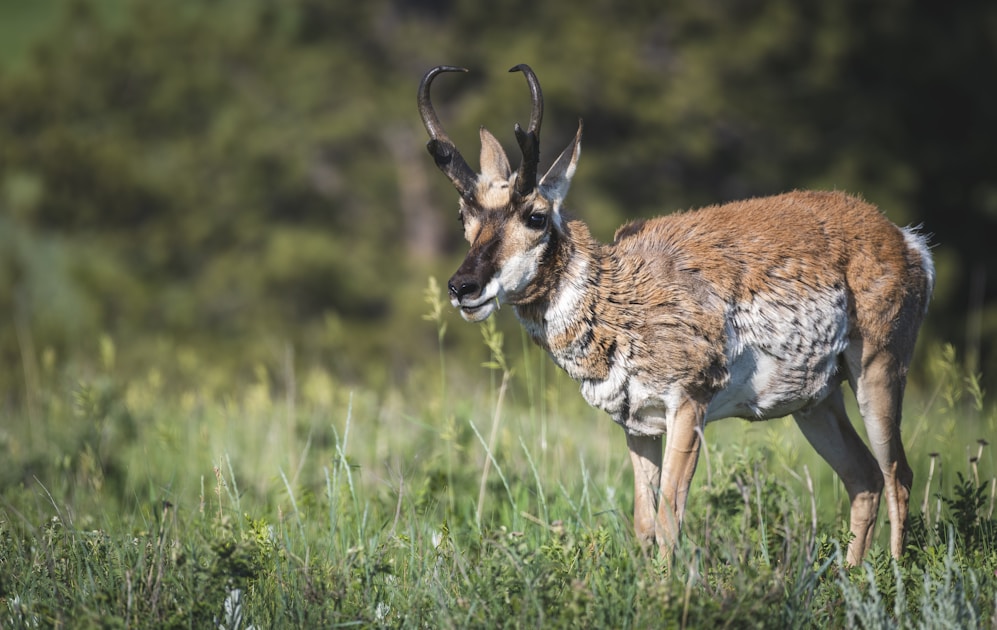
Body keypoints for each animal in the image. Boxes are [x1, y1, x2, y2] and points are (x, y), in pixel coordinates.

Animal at [417, 64, 934, 565]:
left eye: (536, 216)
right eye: (465, 218)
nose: (462, 287)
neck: (620, 293)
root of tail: (905, 239)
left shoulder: (689, 406)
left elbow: (669, 518)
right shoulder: (637, 425)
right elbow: (644, 523)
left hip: (877, 371)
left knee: (897, 474)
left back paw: (893, 576)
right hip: (816, 402)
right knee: (864, 479)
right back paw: (853, 574)